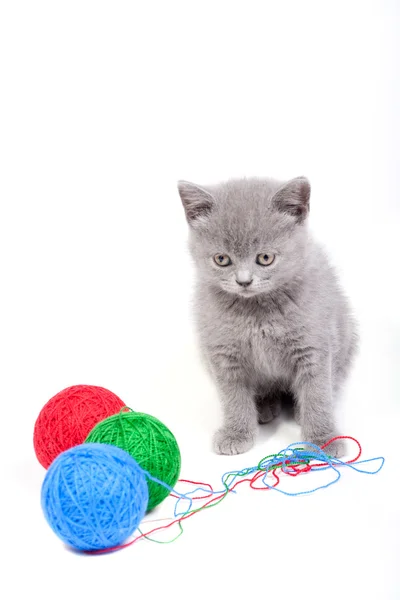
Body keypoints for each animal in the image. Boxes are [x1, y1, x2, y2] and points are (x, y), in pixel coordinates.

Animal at [178, 176, 356, 458]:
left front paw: (322, 439)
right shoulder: (221, 352)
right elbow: (232, 396)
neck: (257, 312)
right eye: (222, 259)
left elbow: (317, 393)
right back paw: (263, 407)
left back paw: (298, 411)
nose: (244, 281)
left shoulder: (313, 346)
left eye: (265, 258)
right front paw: (236, 432)